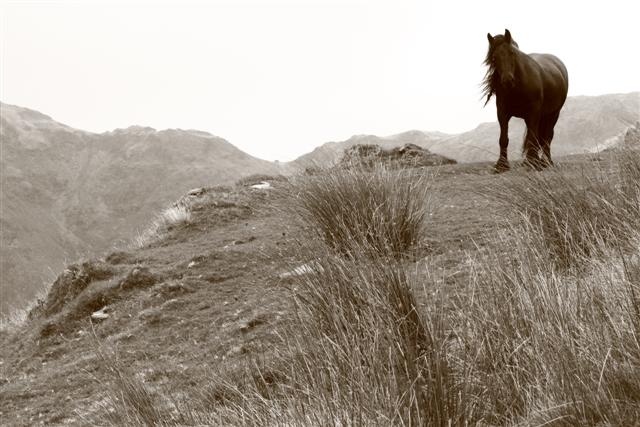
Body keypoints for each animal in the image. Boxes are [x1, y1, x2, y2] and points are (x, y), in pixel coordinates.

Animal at [482, 28, 568, 173]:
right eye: (494, 58)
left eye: (512, 53)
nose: (507, 80)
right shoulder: (502, 113)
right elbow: (504, 139)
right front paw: (502, 165)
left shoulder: (534, 112)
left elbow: (533, 138)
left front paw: (531, 163)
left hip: (553, 114)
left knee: (547, 137)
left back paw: (546, 162)